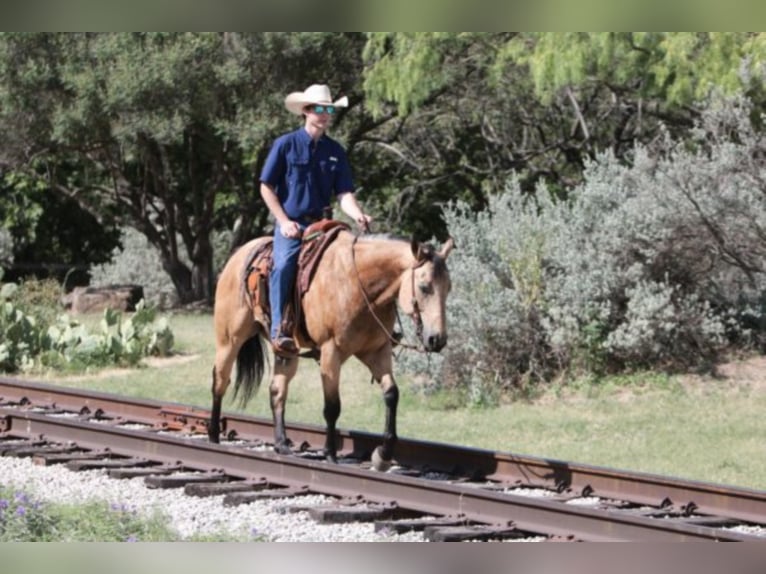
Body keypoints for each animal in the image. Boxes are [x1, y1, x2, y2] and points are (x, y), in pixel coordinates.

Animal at [207, 225, 452, 472]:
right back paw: (213, 436)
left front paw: (383, 455)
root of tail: (239, 255)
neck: (359, 284)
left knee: (277, 390)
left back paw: (281, 444)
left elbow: (392, 394)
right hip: (230, 339)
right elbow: (332, 406)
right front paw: (331, 455)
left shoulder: (377, 351)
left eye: (448, 288)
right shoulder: (330, 352)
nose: (437, 339)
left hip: (286, 351)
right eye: (424, 286)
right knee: (220, 380)